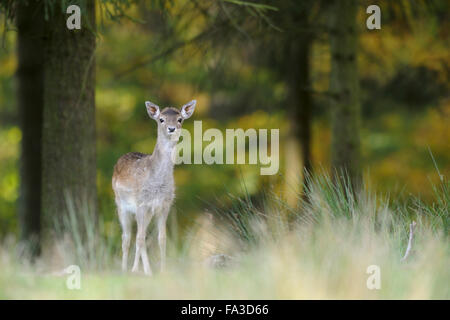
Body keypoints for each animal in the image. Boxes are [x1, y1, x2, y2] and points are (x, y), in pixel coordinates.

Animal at [112, 99, 195, 276]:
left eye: (180, 119)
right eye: (161, 119)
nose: (172, 128)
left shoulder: (164, 205)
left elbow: (161, 238)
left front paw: (162, 271)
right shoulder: (141, 204)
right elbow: (140, 239)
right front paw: (146, 272)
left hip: (147, 212)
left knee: (139, 235)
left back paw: (137, 269)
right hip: (121, 205)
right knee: (127, 237)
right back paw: (125, 269)